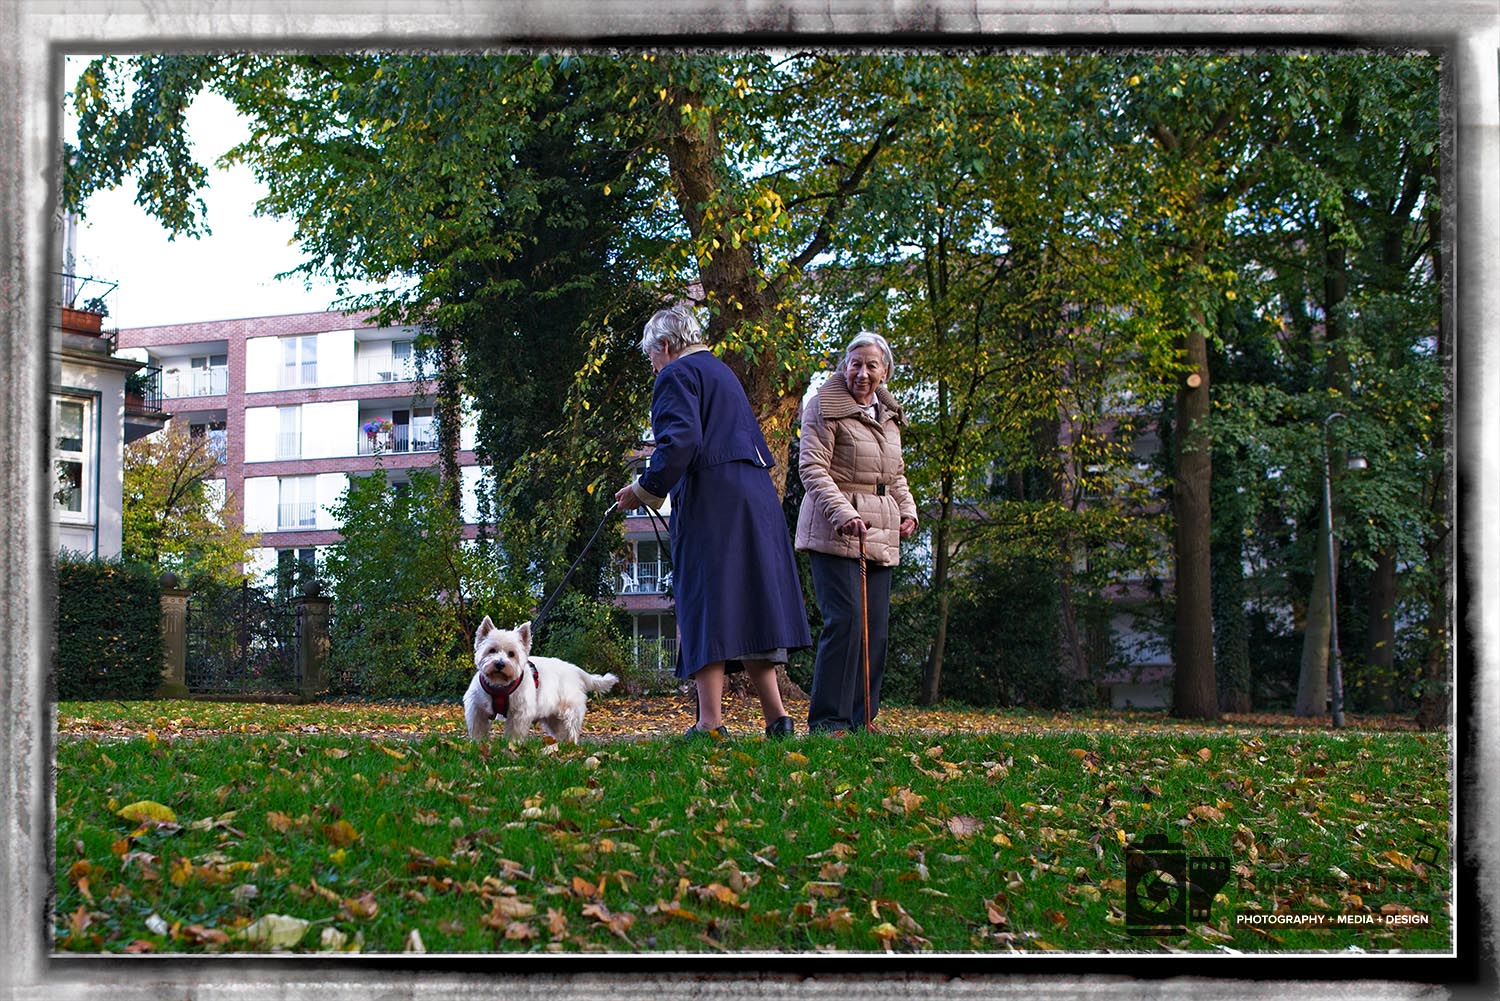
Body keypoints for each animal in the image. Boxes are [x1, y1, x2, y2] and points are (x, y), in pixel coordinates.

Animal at [459, 618, 618, 744]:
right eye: (491, 650)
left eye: (511, 654)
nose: (499, 664)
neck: (499, 686)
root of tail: (575, 669)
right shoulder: (476, 708)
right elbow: (478, 728)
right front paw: (478, 744)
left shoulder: (519, 712)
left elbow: (515, 731)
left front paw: (512, 746)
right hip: (552, 718)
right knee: (562, 732)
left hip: (569, 711)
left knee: (571, 730)